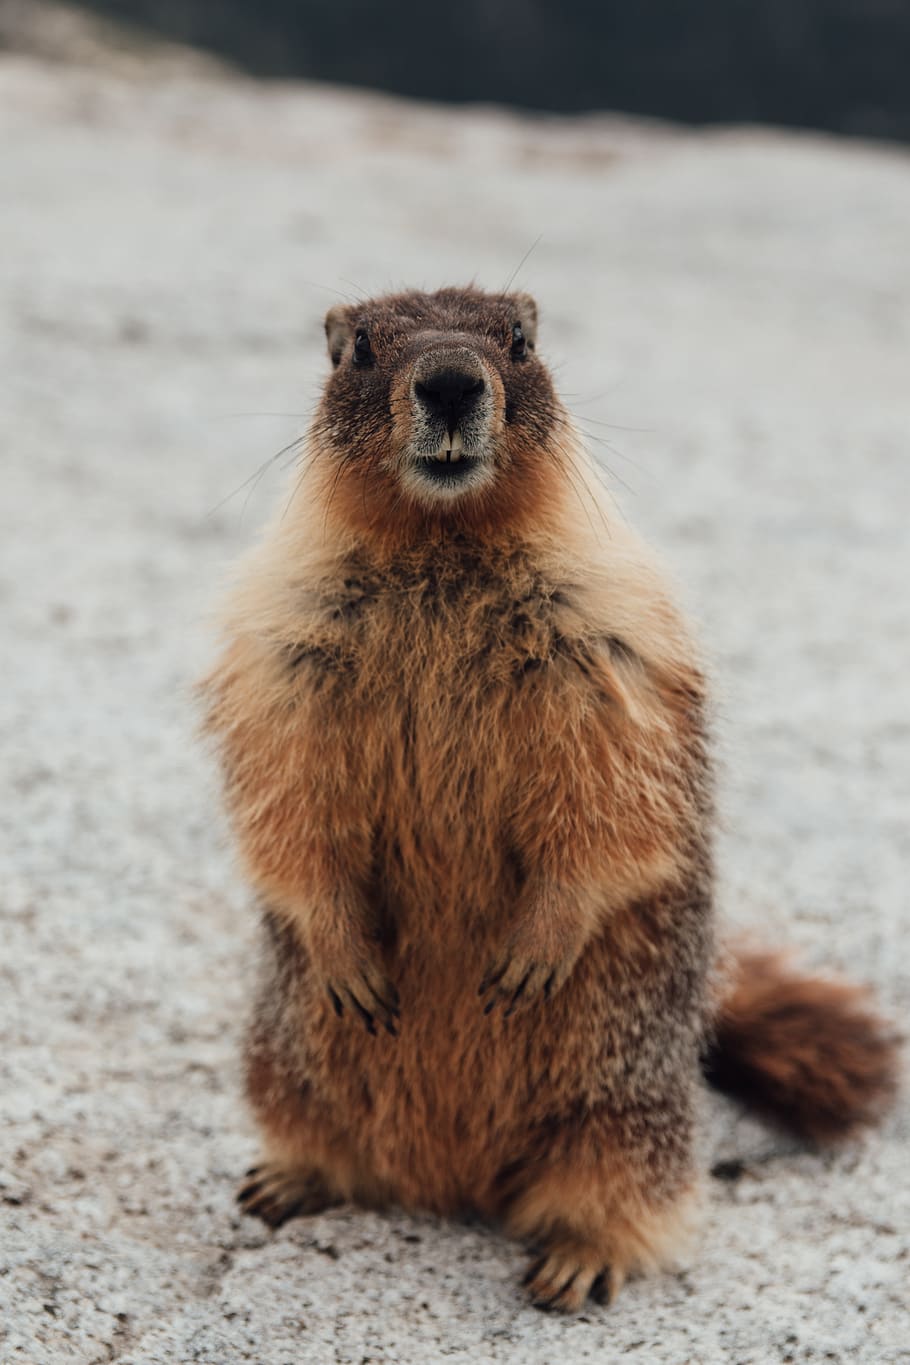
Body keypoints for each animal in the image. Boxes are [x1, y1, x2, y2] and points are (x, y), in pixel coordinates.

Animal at [201, 286, 899, 1312]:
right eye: (357, 348)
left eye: (521, 341)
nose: (452, 381)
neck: (442, 548)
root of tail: (448, 1181)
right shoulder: (283, 637)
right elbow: (282, 786)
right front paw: (346, 954)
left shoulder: (611, 634)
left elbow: (614, 787)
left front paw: (535, 950)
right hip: (284, 1059)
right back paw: (291, 1176)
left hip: (627, 1110)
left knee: (625, 1190)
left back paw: (580, 1258)